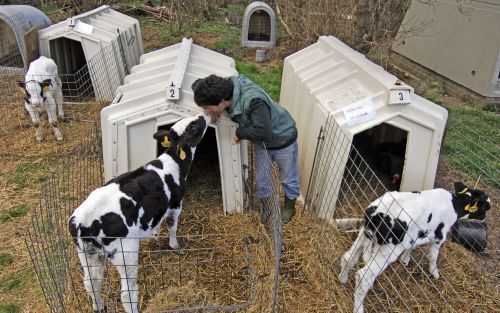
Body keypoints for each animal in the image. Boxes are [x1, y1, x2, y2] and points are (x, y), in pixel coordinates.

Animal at [68, 112, 211, 312]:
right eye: (193, 126)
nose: (204, 114)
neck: (172, 164)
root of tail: (83, 220)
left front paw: (155, 236)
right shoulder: (175, 204)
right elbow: (172, 226)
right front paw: (174, 245)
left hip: (86, 253)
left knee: (91, 281)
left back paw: (99, 305)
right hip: (125, 254)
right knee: (127, 294)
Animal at [338, 182, 490, 312]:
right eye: (485, 207)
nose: (484, 217)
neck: (454, 204)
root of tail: (378, 213)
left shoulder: (415, 234)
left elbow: (411, 246)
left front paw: (405, 260)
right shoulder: (439, 237)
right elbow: (433, 256)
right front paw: (434, 273)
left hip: (363, 234)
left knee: (348, 258)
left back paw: (342, 279)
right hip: (388, 250)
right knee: (363, 277)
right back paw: (358, 308)